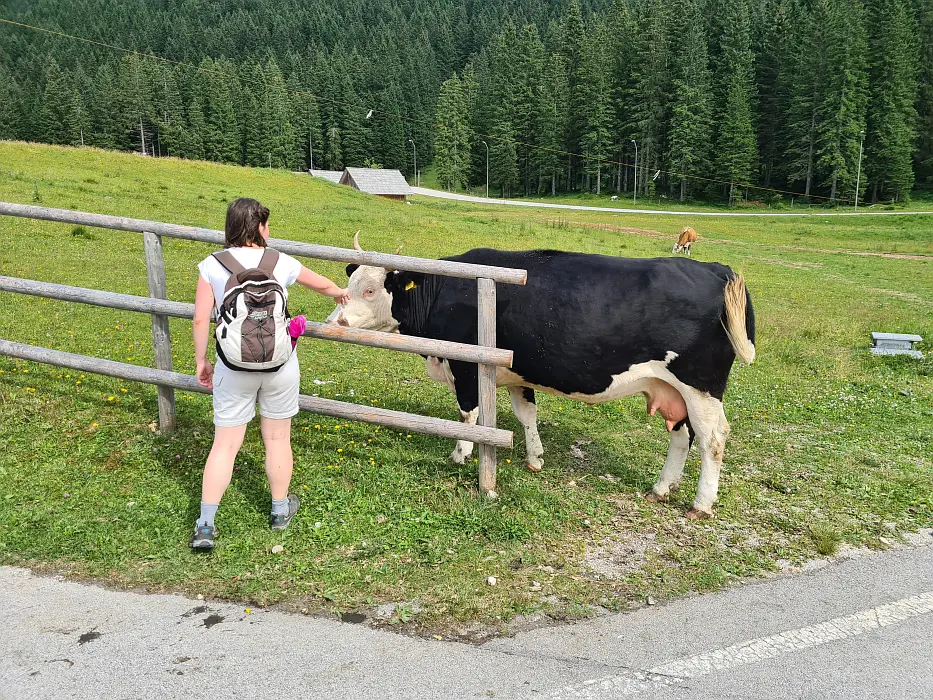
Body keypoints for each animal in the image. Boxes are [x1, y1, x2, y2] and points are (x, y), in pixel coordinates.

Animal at [332, 238, 752, 516]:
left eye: (371, 289)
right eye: (348, 285)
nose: (337, 321)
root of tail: (718, 269)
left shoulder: (467, 367)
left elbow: (469, 415)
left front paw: (460, 455)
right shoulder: (517, 373)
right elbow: (525, 414)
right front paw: (535, 457)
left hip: (700, 385)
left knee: (713, 439)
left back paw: (701, 504)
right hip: (674, 390)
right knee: (682, 436)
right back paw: (661, 488)